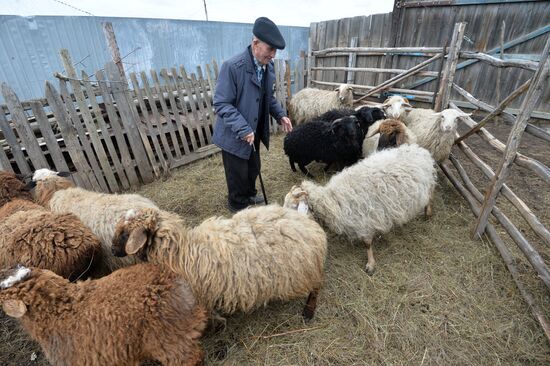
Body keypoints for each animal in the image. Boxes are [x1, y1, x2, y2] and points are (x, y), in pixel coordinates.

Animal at [111, 206, 328, 320]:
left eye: (125, 234)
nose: (112, 251)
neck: (181, 254)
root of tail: (307, 221)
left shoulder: (201, 295)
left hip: (306, 267)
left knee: (317, 285)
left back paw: (308, 310)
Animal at [284, 144, 436, 274]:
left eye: (293, 207)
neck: (333, 200)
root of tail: (420, 150)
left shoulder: (364, 220)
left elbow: (367, 243)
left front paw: (370, 264)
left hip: (426, 184)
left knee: (429, 197)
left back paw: (427, 213)